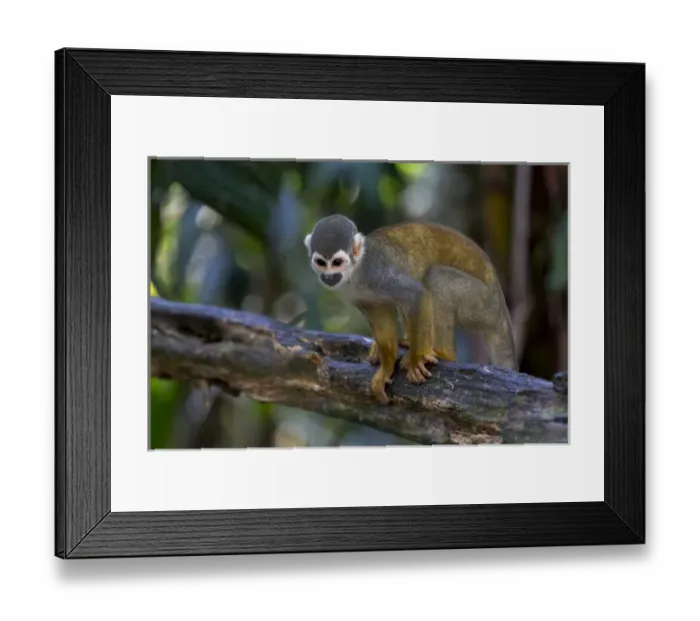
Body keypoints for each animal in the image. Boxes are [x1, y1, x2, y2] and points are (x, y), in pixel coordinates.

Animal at [304, 214, 517, 404]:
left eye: (337, 262)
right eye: (321, 263)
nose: (329, 277)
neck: (355, 273)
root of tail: (502, 310)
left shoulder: (376, 272)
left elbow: (415, 294)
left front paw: (416, 360)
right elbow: (379, 314)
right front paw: (387, 367)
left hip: (482, 304)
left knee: (436, 277)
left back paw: (443, 352)